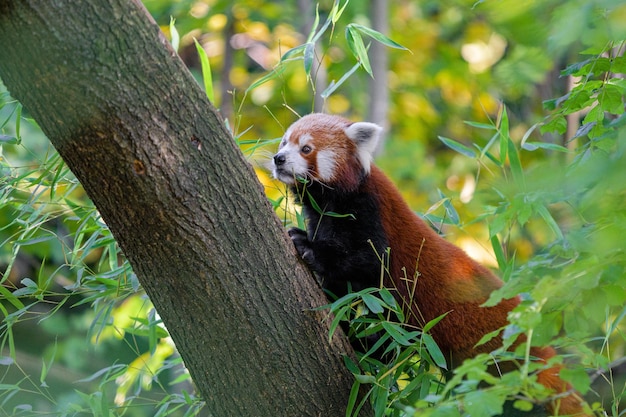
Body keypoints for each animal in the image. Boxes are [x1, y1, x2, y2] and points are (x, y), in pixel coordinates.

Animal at [270, 112, 588, 414]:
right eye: (284, 142)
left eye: (306, 148)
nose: (278, 158)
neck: (330, 202)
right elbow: (343, 291)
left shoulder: (369, 214)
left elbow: (364, 261)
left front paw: (307, 246)